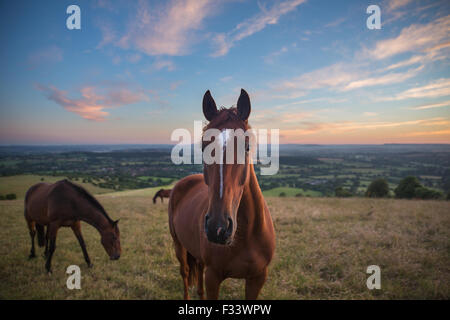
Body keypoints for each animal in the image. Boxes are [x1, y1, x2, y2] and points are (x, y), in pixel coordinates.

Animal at [169, 89, 274, 300]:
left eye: (247, 147)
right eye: (203, 147)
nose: (218, 228)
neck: (245, 236)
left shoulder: (258, 278)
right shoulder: (213, 277)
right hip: (179, 246)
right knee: (185, 273)